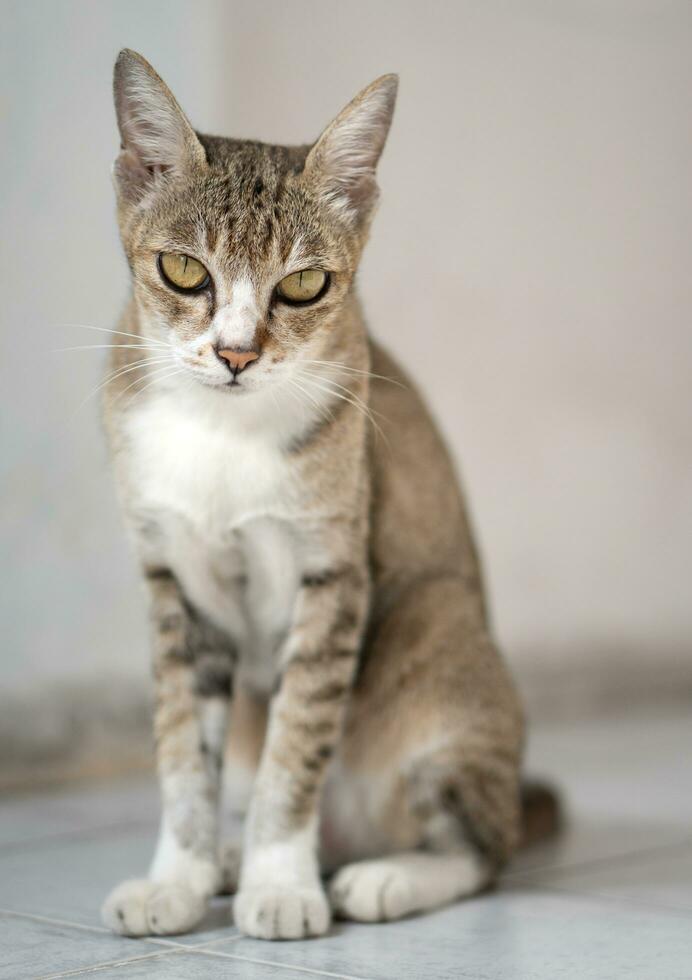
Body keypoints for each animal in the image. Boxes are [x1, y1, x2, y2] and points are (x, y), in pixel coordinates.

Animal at [100, 49, 556, 936]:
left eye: (305, 284)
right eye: (184, 269)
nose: (237, 354)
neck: (223, 433)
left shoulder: (333, 573)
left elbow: (298, 743)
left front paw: (280, 884)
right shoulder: (174, 581)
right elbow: (182, 750)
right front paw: (178, 879)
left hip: (438, 639)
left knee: (484, 849)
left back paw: (378, 877)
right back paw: (232, 861)